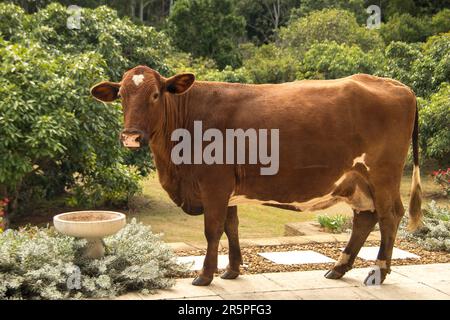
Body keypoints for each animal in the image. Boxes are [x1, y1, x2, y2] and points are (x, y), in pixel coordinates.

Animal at [91, 66, 422, 286]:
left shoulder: (214, 184)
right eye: (121, 96)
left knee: (389, 216)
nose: (131, 137)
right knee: (365, 218)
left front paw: (205, 275)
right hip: (356, 180)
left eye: (156, 94)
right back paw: (339, 268)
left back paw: (377, 272)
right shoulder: (227, 189)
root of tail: (395, 84)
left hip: (382, 175)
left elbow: (213, 230)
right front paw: (232, 270)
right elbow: (231, 227)